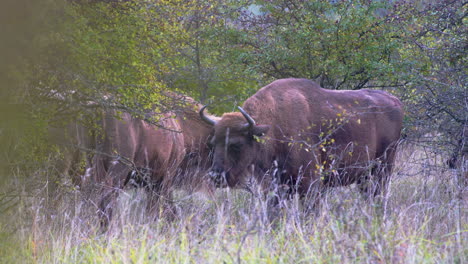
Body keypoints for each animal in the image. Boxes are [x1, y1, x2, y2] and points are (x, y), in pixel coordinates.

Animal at [200, 77, 402, 205]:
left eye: (236, 144)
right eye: (212, 143)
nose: (215, 176)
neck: (273, 125)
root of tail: (395, 101)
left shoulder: (310, 185)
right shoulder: (275, 188)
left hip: (383, 169)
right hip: (366, 176)